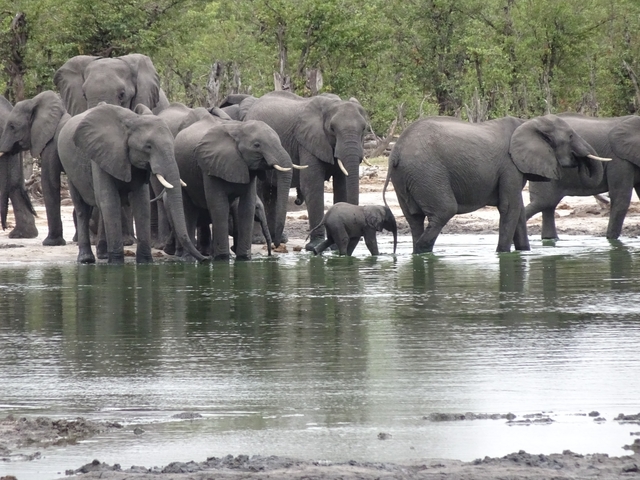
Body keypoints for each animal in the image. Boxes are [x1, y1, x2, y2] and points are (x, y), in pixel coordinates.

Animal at [57, 103, 206, 264]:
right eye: (148, 146)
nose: (206, 258)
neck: (132, 121)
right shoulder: (101, 155)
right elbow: (110, 201)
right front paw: (116, 263)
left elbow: (141, 203)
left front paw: (145, 262)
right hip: (70, 170)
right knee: (83, 209)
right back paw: (86, 259)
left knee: (101, 209)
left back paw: (103, 255)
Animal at [173, 116, 295, 260]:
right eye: (257, 145)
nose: (276, 247)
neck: (238, 128)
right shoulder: (210, 166)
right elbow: (219, 206)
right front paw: (223, 259)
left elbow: (246, 207)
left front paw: (243, 258)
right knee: (189, 211)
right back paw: (191, 259)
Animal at [229, 91, 368, 251]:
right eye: (332, 129)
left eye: (364, 129)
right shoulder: (307, 142)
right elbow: (312, 185)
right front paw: (315, 246)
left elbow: (342, 187)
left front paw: (334, 247)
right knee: (260, 191)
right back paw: (259, 240)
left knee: (274, 193)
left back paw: (280, 239)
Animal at [384, 115, 610, 253]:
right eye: (570, 136)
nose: (580, 162)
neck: (529, 123)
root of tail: (395, 151)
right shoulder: (509, 166)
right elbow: (510, 208)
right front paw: (502, 254)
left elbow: (518, 210)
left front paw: (524, 252)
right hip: (427, 172)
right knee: (444, 211)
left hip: (407, 177)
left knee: (414, 218)